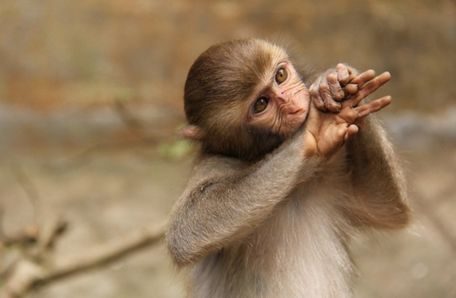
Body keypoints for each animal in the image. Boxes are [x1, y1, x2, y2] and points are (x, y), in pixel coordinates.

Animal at [167, 39, 410, 298]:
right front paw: (316, 129)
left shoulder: (333, 172)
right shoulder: (213, 163)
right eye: (261, 104)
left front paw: (332, 84)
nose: (294, 103)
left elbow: (385, 208)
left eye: (280, 76)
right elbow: (186, 231)